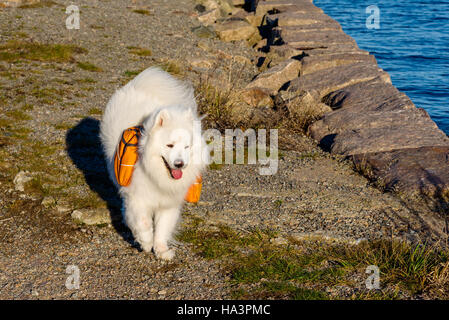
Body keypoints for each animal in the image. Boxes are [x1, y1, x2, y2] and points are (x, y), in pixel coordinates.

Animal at [100, 67, 206, 260]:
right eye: (170, 145)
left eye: (187, 147)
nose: (179, 164)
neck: (159, 177)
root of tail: (139, 85)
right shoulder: (138, 198)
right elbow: (143, 223)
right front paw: (146, 242)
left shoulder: (169, 204)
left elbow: (163, 228)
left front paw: (162, 250)